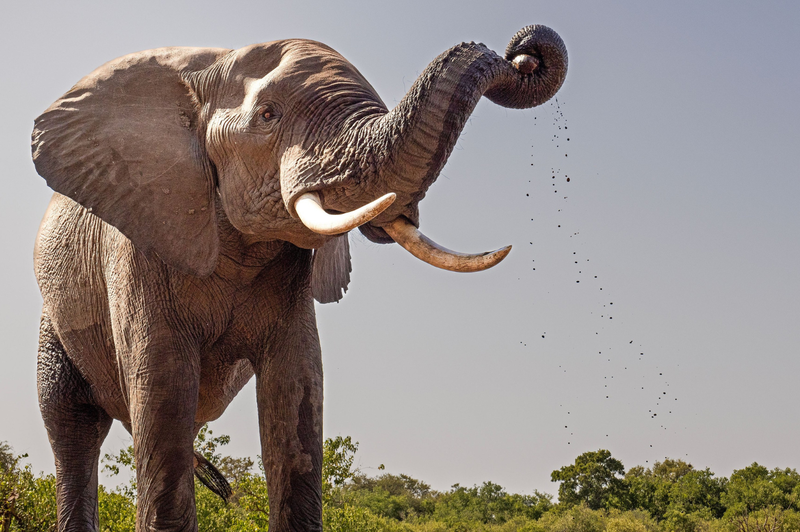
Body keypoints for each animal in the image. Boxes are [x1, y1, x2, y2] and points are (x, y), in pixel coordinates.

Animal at [31, 22, 564, 528]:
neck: (207, 70)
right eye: (269, 115)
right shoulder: (139, 242)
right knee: (73, 425)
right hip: (55, 321)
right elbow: (161, 388)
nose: (524, 55)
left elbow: (297, 389)